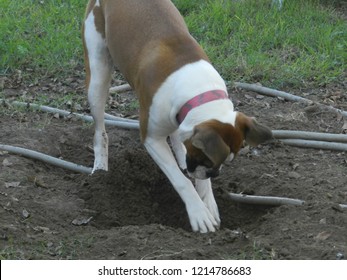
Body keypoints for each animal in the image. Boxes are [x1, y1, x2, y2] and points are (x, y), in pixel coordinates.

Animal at [83, 0, 274, 233]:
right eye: (207, 160)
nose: (215, 174)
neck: (198, 92)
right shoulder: (152, 140)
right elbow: (179, 180)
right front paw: (199, 212)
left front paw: (208, 201)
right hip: (98, 77)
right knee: (100, 130)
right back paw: (100, 166)